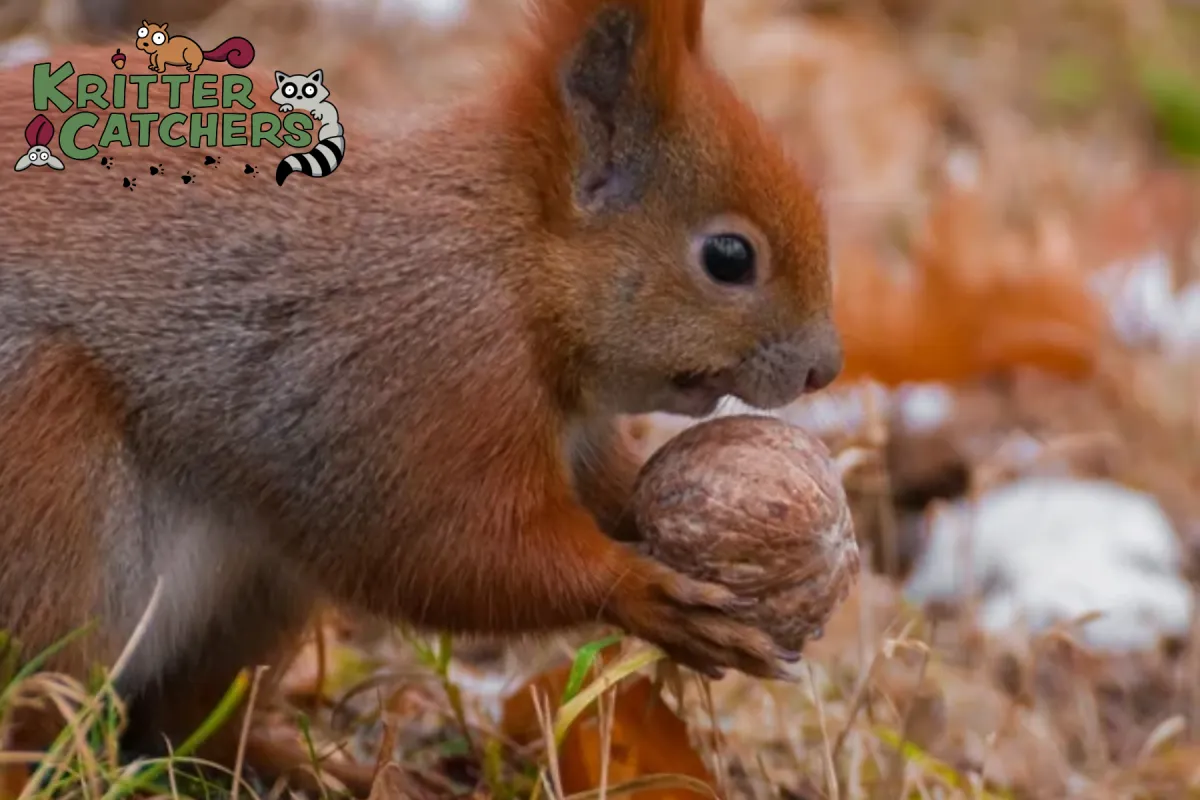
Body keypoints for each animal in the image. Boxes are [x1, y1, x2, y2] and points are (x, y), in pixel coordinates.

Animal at [0, 0, 840, 786]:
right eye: (728, 257)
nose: (824, 369)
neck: (508, 258)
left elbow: (605, 494)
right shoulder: (419, 372)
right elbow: (442, 546)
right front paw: (642, 592)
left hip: (255, 600)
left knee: (181, 727)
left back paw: (306, 767)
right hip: (47, 489)